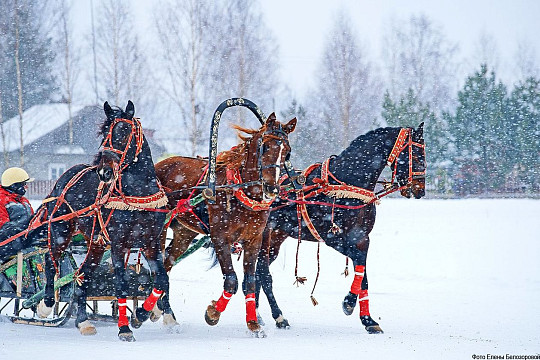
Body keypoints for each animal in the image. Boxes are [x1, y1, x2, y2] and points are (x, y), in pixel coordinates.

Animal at [35, 100, 168, 340]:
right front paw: (124, 328)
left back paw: (83, 321)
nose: (104, 171)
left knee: (82, 275)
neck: (138, 195)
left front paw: (141, 314)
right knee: (51, 261)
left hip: (96, 244)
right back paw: (47, 303)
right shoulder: (118, 244)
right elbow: (121, 284)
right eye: (105, 133)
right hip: (60, 230)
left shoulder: (150, 243)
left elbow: (162, 280)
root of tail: (64, 177)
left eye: (124, 131)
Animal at [154, 113, 298, 338]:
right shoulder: (220, 238)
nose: (271, 188)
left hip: (184, 231)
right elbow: (231, 281)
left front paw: (254, 324)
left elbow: (250, 281)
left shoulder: (254, 239)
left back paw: (165, 313)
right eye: (264, 146)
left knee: (168, 261)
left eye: (287, 151)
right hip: (159, 227)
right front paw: (213, 313)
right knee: (159, 266)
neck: (241, 192)